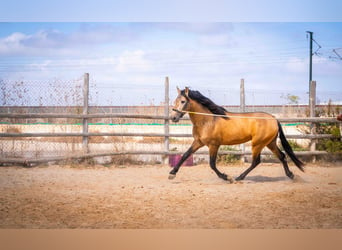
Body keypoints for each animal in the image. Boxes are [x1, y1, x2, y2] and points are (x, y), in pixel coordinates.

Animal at [169, 87, 304, 183]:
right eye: (175, 101)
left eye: (183, 101)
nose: (173, 117)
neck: (208, 120)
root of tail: (274, 118)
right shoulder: (198, 142)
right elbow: (185, 155)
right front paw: (172, 173)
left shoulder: (214, 145)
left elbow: (212, 164)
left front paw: (227, 177)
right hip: (270, 143)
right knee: (281, 156)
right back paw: (291, 175)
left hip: (258, 143)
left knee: (256, 161)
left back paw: (239, 177)